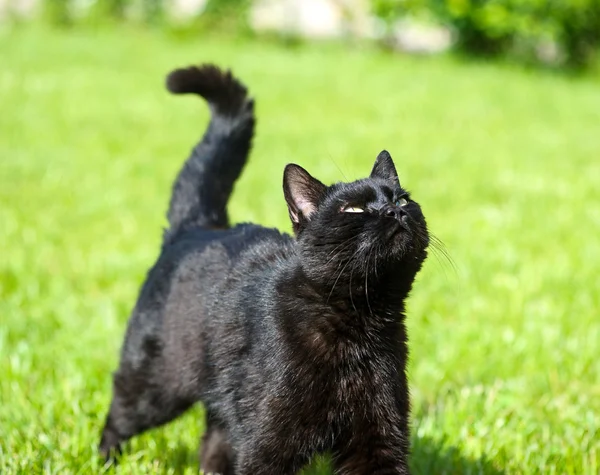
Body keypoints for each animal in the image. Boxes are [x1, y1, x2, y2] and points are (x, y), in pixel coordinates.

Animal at [99, 64, 426, 475]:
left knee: (212, 442)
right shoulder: (268, 442)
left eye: (404, 199)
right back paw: (105, 461)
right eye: (354, 209)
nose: (394, 210)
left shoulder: (377, 437)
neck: (359, 323)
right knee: (117, 419)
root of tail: (197, 227)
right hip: (154, 385)